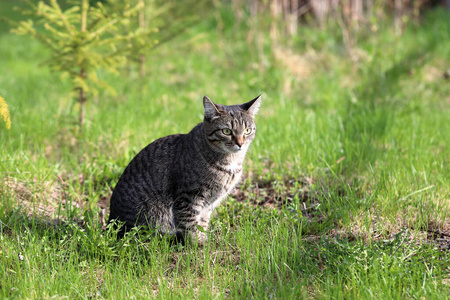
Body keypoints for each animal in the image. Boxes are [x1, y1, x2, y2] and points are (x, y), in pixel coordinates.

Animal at [108, 95, 262, 245]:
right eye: (226, 131)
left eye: (247, 130)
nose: (240, 143)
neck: (230, 162)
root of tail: (111, 223)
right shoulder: (188, 196)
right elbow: (190, 223)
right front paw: (196, 243)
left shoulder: (208, 204)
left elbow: (202, 221)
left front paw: (203, 238)